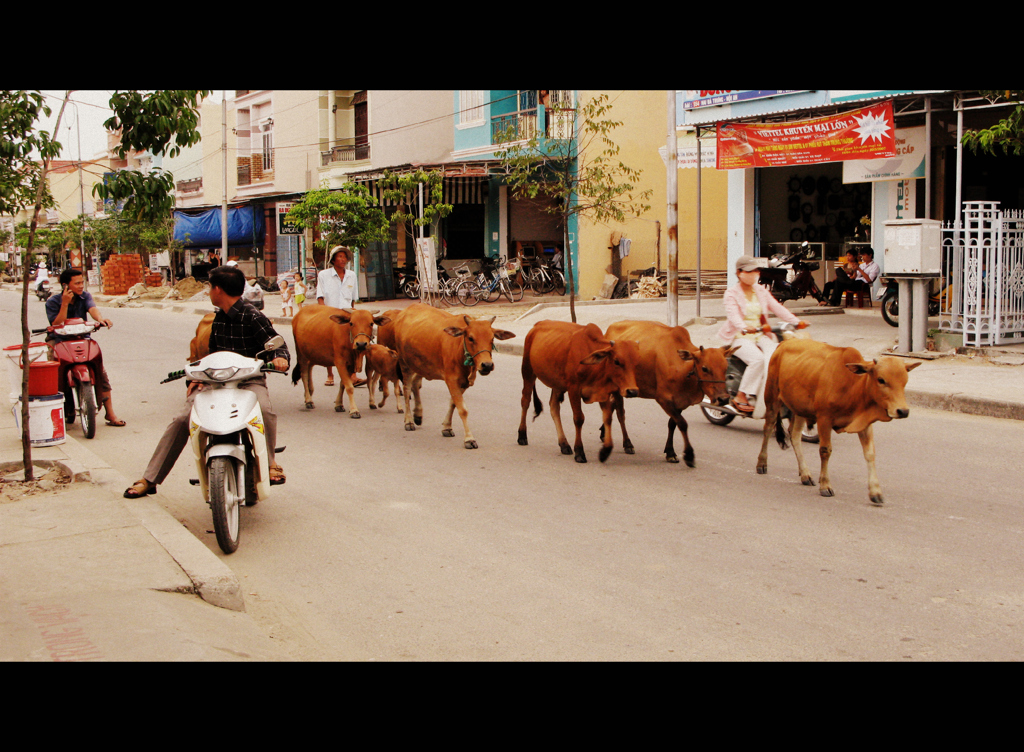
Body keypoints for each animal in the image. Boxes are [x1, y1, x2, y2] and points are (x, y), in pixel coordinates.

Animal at [389, 305, 516, 450]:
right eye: (471, 338)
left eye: (492, 339)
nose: (487, 365)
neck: (459, 348)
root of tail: (404, 311)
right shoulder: (451, 380)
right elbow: (462, 409)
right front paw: (469, 439)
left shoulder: (464, 382)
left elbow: (453, 403)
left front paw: (447, 427)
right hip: (404, 363)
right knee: (406, 389)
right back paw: (409, 421)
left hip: (421, 364)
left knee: (415, 384)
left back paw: (418, 415)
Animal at [602, 321, 733, 469]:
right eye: (705, 368)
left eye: (726, 367)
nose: (723, 399)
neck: (682, 367)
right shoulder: (663, 399)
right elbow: (682, 423)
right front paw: (688, 455)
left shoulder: (680, 402)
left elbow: (673, 424)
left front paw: (670, 452)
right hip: (618, 388)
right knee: (620, 414)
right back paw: (627, 443)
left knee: (612, 407)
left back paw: (603, 433)